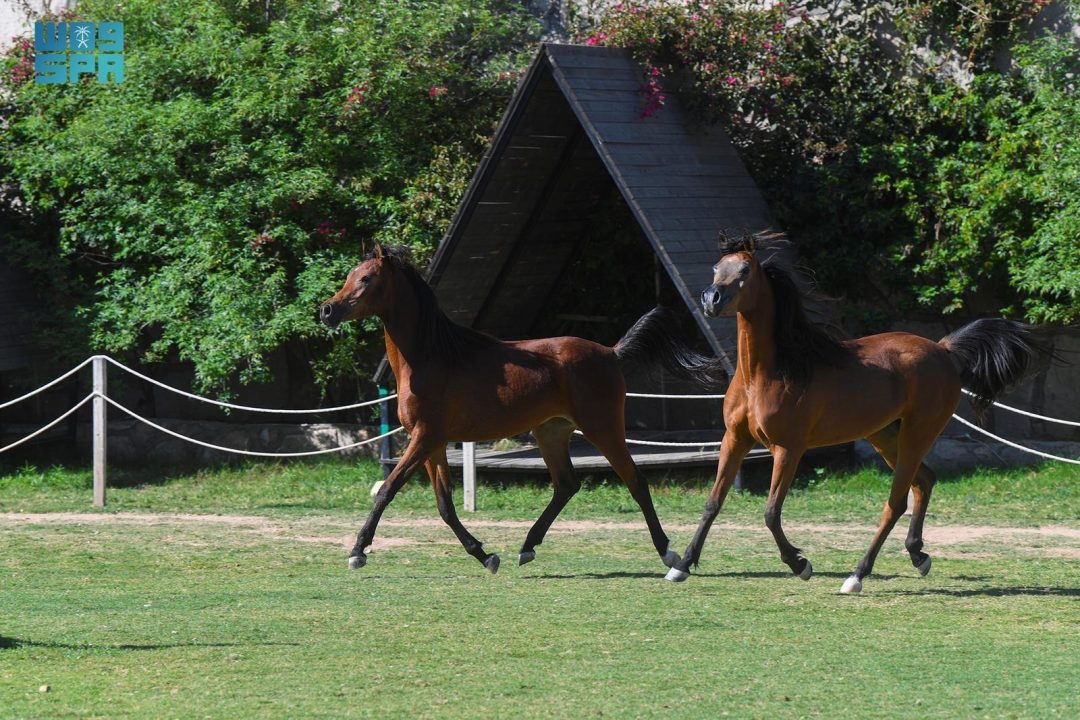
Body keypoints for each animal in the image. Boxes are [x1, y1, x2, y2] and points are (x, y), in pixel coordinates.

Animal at [320, 244, 727, 574]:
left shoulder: (424, 437)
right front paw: (485, 556)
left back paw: (669, 555)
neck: (431, 355)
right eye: (349, 276)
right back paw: (527, 547)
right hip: (550, 431)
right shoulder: (432, 443)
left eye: (367, 278)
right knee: (567, 484)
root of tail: (610, 352)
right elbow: (445, 505)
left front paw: (357, 552)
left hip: (603, 428)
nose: (327, 311)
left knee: (635, 481)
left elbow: (387, 489)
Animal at [664, 233, 1033, 593]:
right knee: (924, 481)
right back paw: (918, 556)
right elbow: (713, 503)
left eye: (744, 270)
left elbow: (771, 512)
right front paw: (681, 566)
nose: (710, 299)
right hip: (885, 435)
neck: (766, 374)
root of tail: (942, 351)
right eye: (716, 267)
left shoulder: (788, 449)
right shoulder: (735, 439)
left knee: (895, 503)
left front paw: (801, 564)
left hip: (917, 434)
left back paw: (857, 575)